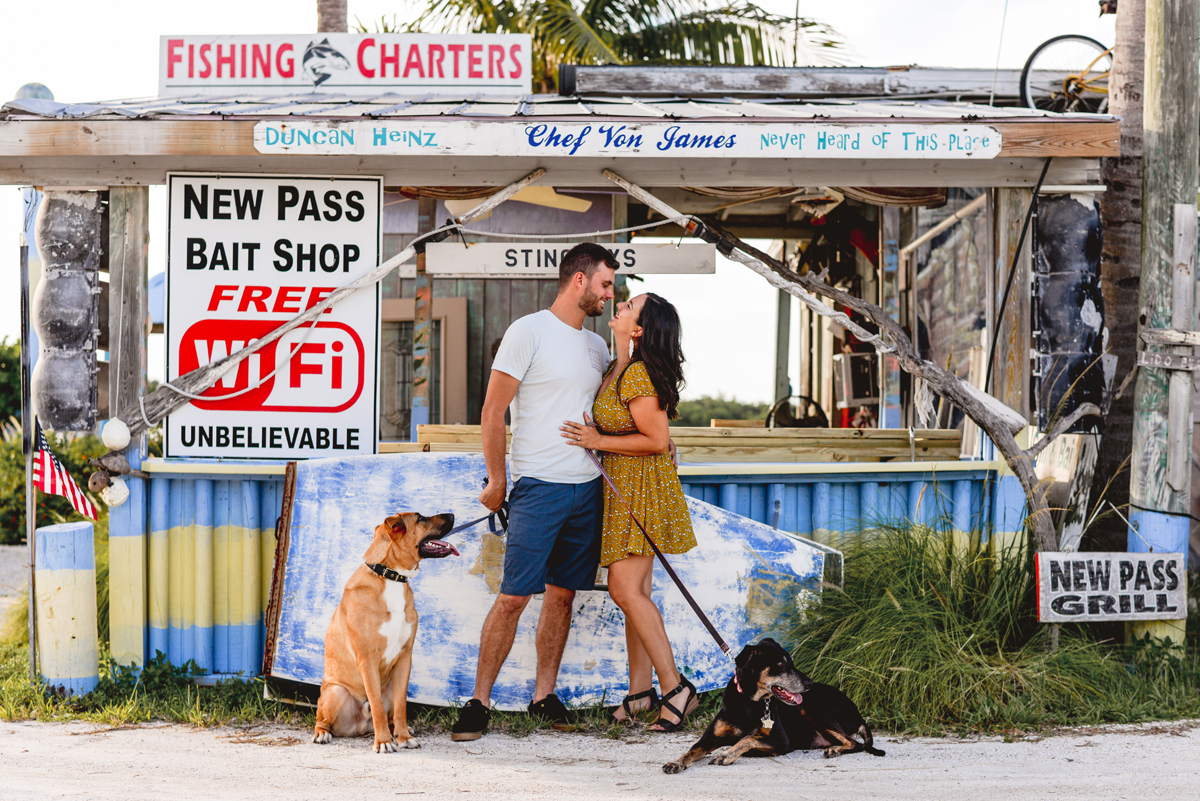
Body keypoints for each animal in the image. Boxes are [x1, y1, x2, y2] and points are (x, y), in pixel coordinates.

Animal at [312, 513, 456, 753]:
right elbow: (377, 706)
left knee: (391, 714)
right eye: (421, 518)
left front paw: (404, 737)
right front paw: (384, 742)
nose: (453, 515)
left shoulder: (405, 658)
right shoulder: (367, 659)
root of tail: (360, 726)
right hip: (336, 692)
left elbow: (400, 707)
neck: (390, 577)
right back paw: (323, 734)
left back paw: (398, 730)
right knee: (321, 720)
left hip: (387, 687)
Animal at [667, 633, 883, 772]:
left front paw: (726, 755)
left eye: (792, 662)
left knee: (855, 743)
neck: (749, 701)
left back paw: (835, 749)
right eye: (779, 664)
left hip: (814, 709)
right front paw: (676, 763)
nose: (809, 683)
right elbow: (691, 751)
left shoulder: (782, 741)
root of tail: (856, 712)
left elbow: (747, 738)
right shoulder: (708, 739)